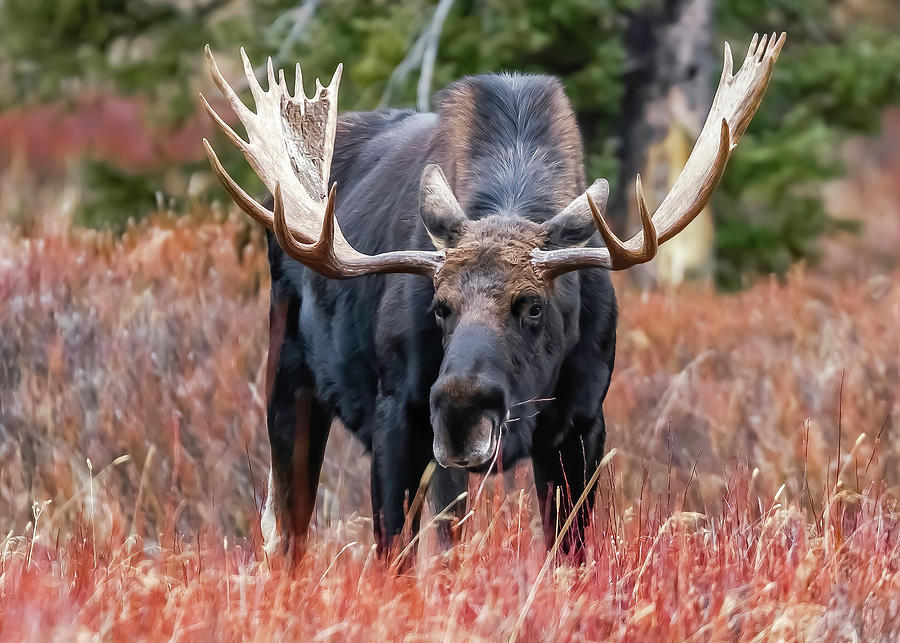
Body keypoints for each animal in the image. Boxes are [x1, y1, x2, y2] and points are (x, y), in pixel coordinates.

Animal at [200, 32, 784, 556]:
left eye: (533, 306)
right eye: (439, 307)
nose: (463, 410)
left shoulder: (582, 424)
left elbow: (567, 554)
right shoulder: (401, 419)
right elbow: (403, 557)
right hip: (289, 379)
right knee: (288, 532)